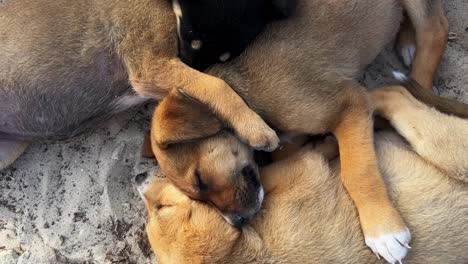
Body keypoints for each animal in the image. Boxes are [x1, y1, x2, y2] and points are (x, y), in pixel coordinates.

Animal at [148, 0, 448, 260]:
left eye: (200, 179)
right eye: (195, 196)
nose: (241, 221)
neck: (245, 100)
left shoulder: (349, 105)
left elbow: (358, 171)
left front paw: (383, 230)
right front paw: (320, 145)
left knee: (436, 27)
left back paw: (418, 83)